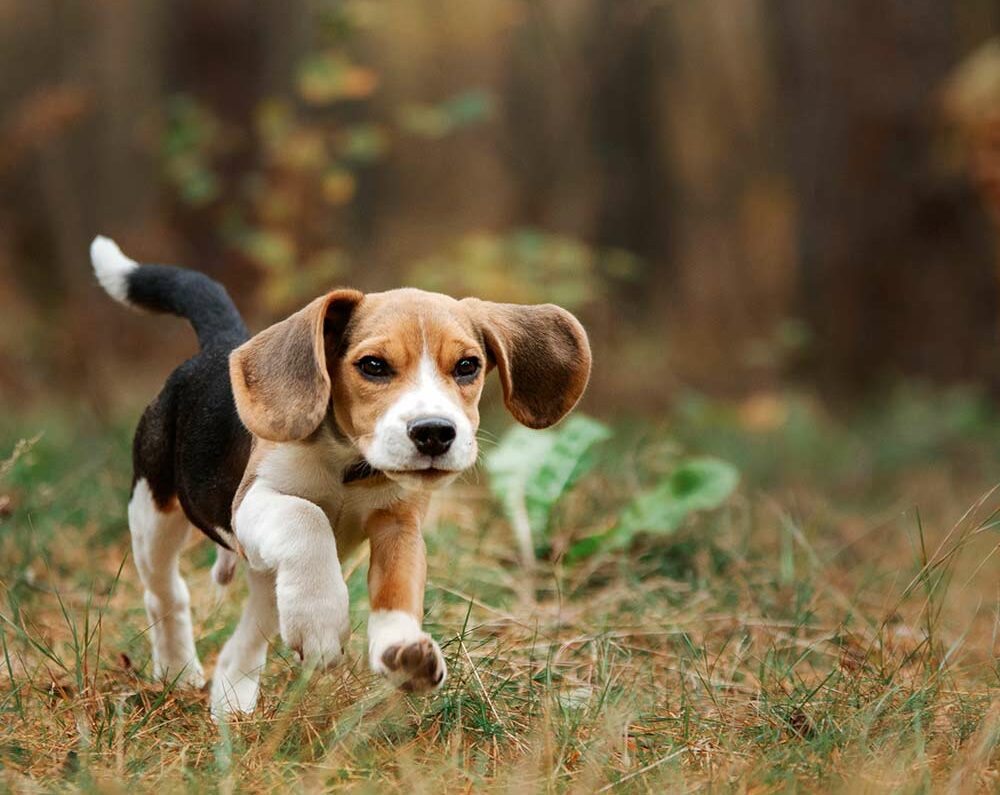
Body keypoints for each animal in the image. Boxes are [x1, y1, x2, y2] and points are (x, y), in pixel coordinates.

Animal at [90, 235, 588, 716]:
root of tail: (219, 344)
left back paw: (232, 702)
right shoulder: (252, 501)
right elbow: (305, 516)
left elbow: (398, 584)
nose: (434, 432)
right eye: (373, 365)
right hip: (154, 511)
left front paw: (400, 645)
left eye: (468, 366)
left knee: (247, 636)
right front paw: (321, 623)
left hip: (264, 573)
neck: (351, 464)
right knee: (166, 593)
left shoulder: (398, 523)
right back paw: (177, 669)